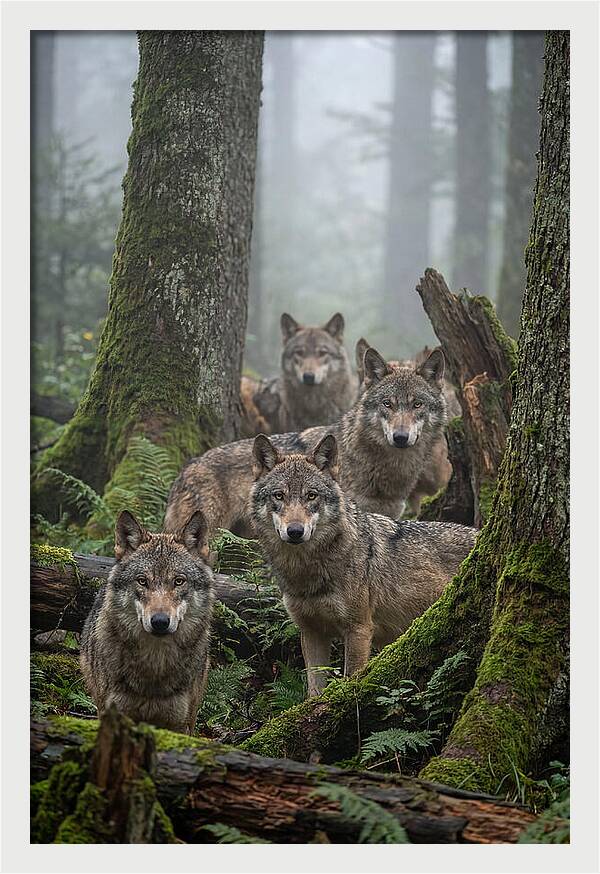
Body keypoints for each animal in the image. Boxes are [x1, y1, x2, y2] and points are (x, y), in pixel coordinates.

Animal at [250, 433, 476, 695]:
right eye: (279, 495)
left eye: (311, 495)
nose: (295, 531)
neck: (306, 572)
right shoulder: (311, 632)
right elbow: (313, 690)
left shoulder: (358, 629)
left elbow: (351, 680)